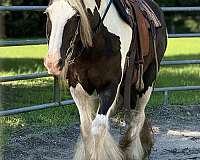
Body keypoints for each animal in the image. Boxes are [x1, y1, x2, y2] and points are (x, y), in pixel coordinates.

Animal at [43, 0, 167, 159]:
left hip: (146, 81)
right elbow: (86, 128)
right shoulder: (77, 87)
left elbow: (98, 128)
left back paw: (131, 151)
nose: (53, 62)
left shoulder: (110, 86)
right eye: (48, 14)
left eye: (76, 16)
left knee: (138, 117)